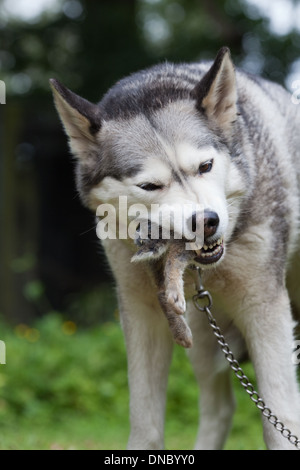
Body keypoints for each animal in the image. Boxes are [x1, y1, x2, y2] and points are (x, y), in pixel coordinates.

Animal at [49, 46, 300, 448]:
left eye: (206, 166)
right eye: (150, 186)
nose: (207, 221)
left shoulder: (265, 310)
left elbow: (279, 421)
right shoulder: (142, 314)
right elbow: (145, 425)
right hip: (203, 336)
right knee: (220, 408)